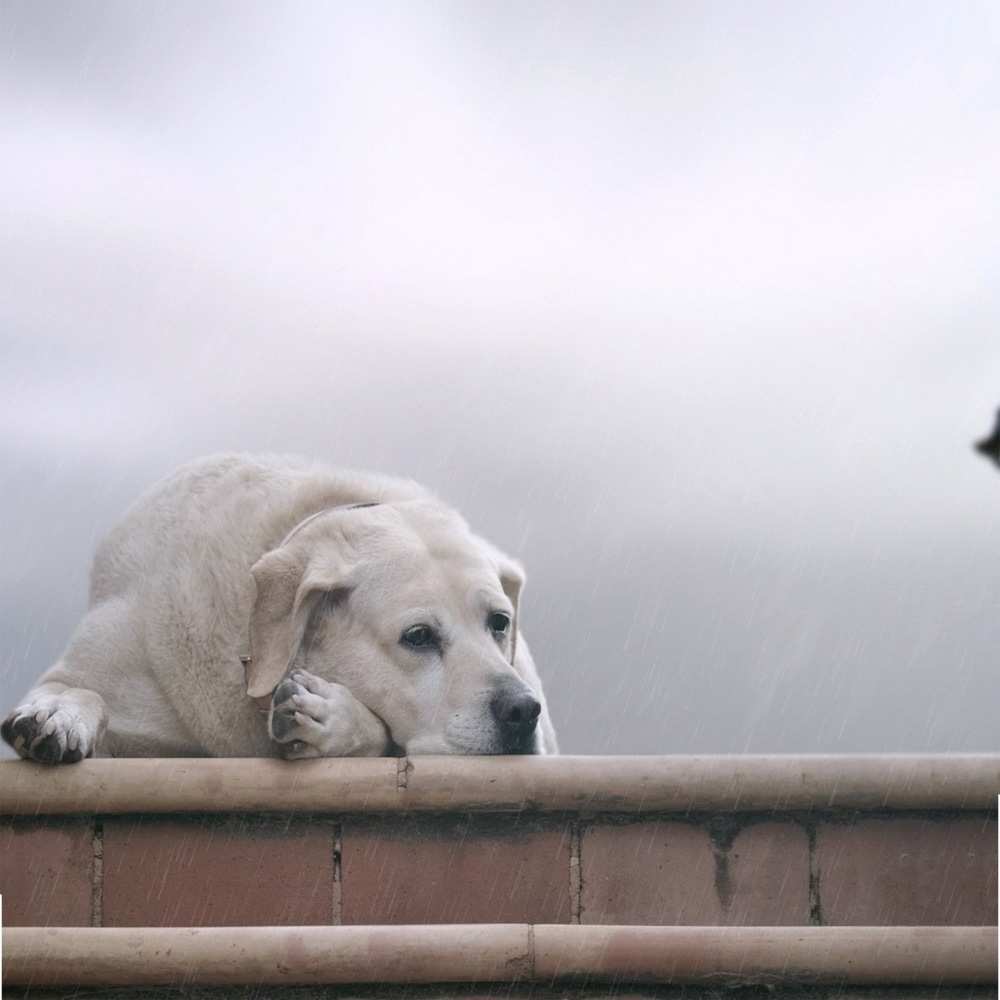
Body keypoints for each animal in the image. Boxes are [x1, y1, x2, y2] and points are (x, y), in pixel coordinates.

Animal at [1, 458, 556, 760]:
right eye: (418, 636)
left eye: (499, 623)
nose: (521, 710)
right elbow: (78, 687)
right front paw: (57, 714)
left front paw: (329, 718)